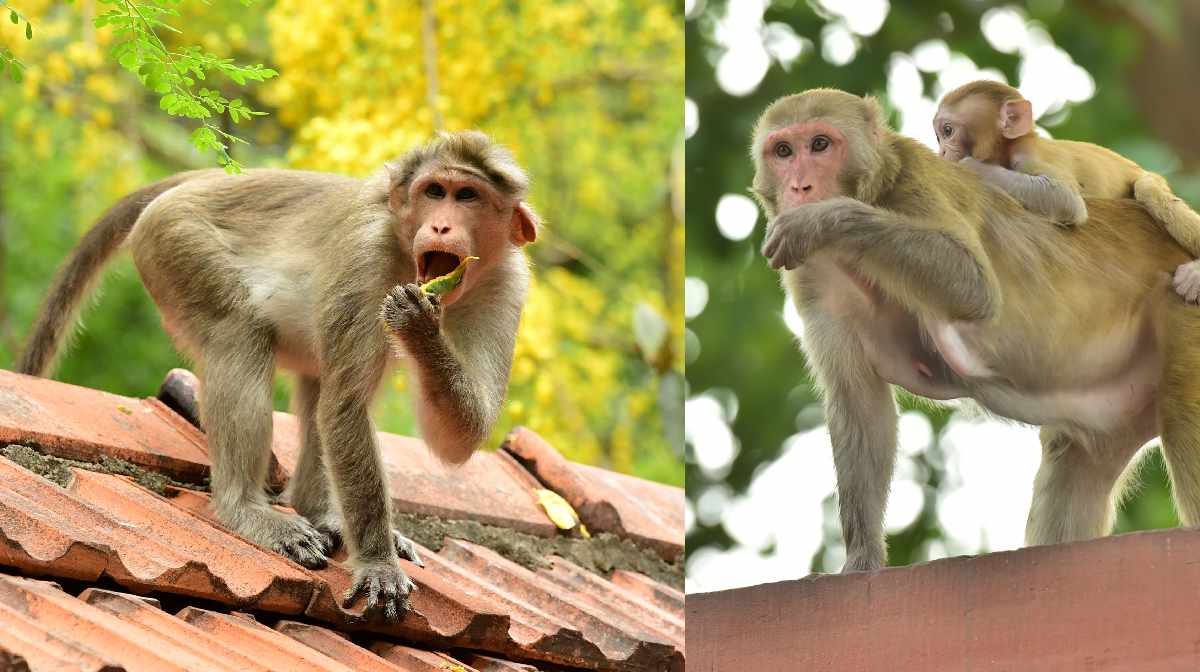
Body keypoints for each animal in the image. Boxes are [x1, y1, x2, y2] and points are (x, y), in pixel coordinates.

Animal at [15, 131, 539, 619]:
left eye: (467, 195)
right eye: (434, 191)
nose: (442, 223)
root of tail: (203, 180)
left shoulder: (508, 284)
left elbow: (462, 437)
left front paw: (420, 327)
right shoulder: (366, 257)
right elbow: (346, 408)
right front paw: (378, 563)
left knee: (316, 379)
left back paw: (321, 511)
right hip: (176, 241)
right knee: (240, 333)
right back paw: (245, 508)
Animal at [934, 80, 1200, 303]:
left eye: (948, 131)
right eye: (939, 137)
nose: (942, 153)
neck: (1010, 148)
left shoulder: (1029, 156)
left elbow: (1064, 199)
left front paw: (973, 167)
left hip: (1152, 179)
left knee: (1147, 189)